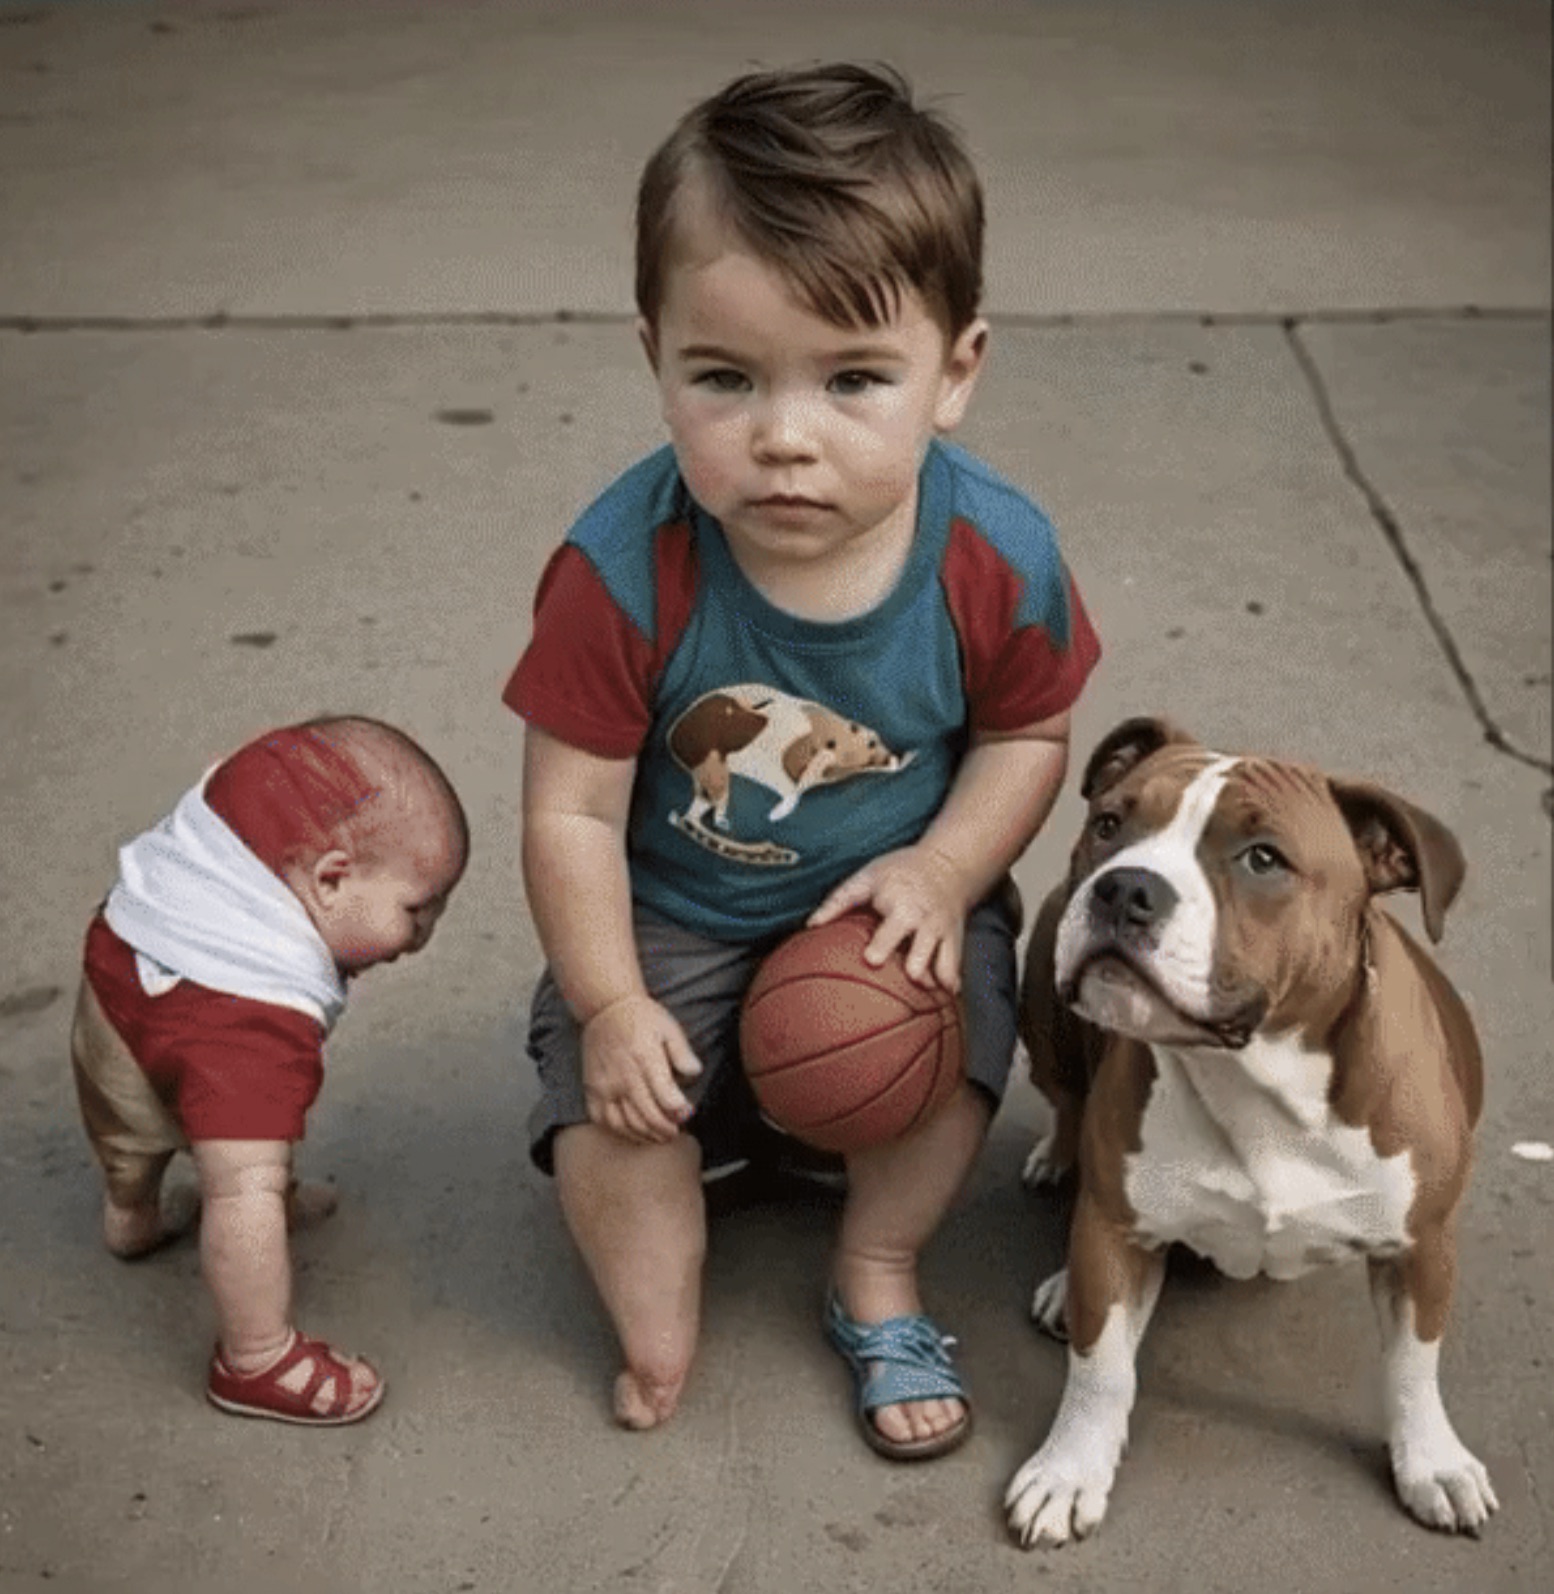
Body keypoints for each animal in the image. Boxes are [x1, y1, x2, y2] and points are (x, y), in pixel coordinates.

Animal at [1007, 720, 1491, 1542]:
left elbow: (1413, 1367)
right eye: (1110, 823)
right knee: (1069, 1106)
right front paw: (1068, 1471)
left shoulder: (1422, 1245)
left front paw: (1434, 1462)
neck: (1252, 1077)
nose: (1124, 887)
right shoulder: (1115, 1232)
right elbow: (1101, 1369)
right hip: (1042, 995)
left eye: (1263, 858)